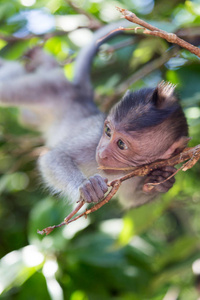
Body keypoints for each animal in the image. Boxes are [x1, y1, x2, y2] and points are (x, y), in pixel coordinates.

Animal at [0, 22, 188, 207]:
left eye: (121, 144)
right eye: (108, 131)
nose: (102, 152)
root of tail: (80, 91)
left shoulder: (141, 171)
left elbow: (130, 200)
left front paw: (162, 181)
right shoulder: (92, 143)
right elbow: (53, 157)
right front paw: (86, 185)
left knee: (26, 118)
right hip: (50, 85)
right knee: (9, 89)